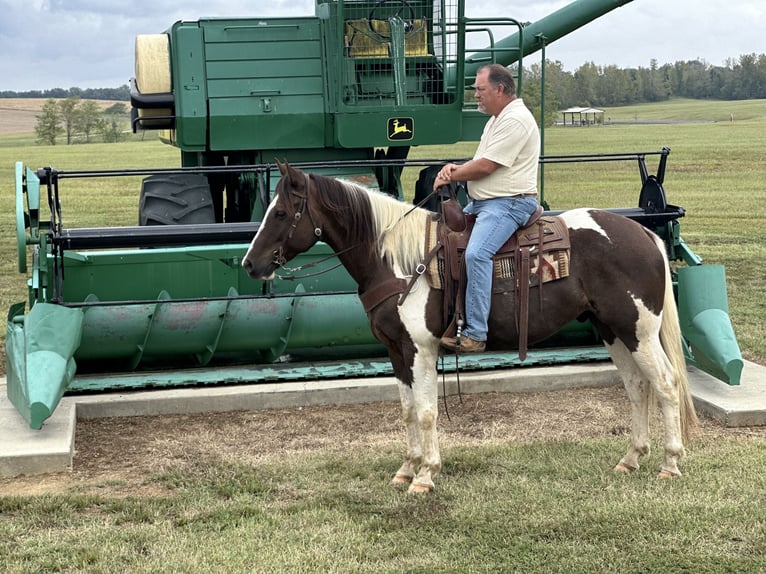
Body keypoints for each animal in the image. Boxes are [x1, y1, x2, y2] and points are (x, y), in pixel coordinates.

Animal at [243, 161, 700, 496]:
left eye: (280, 212)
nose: (250, 264)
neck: (399, 261)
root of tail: (645, 234)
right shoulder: (395, 350)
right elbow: (407, 410)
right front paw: (406, 469)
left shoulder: (421, 349)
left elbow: (427, 411)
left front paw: (426, 476)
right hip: (612, 329)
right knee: (636, 387)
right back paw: (631, 458)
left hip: (639, 331)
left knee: (664, 384)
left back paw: (670, 462)